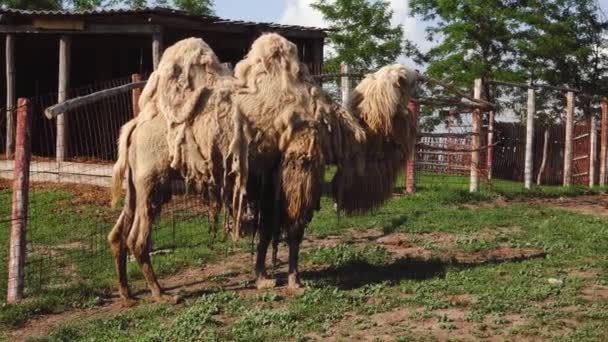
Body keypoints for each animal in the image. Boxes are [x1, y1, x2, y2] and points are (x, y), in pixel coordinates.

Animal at [109, 34, 418, 308]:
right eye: (407, 80)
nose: (418, 74)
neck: (341, 131)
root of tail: (133, 126)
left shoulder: (269, 176)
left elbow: (268, 229)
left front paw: (263, 278)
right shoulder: (301, 165)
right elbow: (294, 228)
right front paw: (294, 282)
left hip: (136, 184)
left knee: (118, 234)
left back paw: (127, 296)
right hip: (153, 179)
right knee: (137, 238)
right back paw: (161, 294)